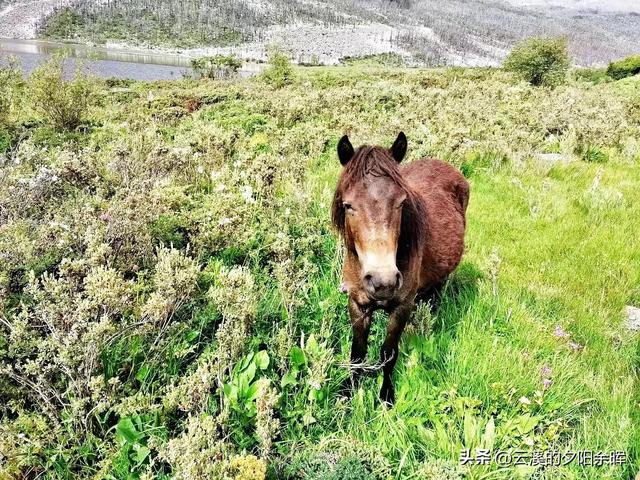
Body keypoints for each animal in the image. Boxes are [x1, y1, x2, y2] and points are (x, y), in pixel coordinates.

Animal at [332, 132, 468, 404]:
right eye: (348, 205)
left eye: (401, 203)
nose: (383, 281)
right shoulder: (356, 304)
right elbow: (357, 352)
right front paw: (349, 393)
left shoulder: (402, 306)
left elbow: (389, 353)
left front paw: (386, 396)